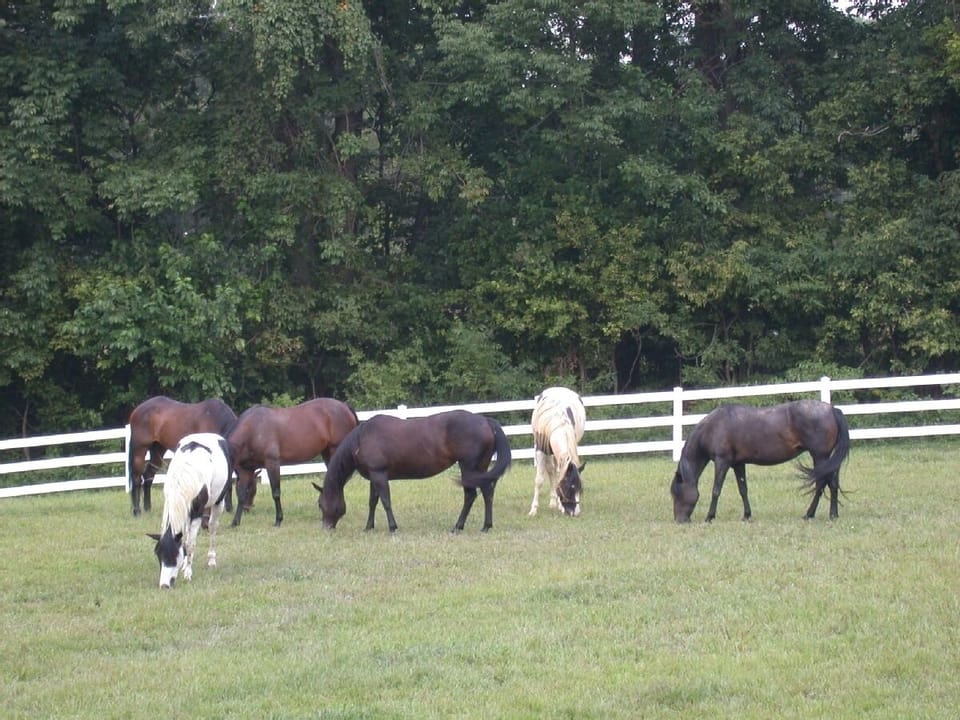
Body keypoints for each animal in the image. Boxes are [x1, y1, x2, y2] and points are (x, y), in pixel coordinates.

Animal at [147, 433, 231, 589]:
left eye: (173, 555)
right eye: (158, 555)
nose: (164, 585)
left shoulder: (197, 513)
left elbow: (190, 543)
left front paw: (188, 573)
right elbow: (185, 541)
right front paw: (186, 565)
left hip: (218, 502)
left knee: (212, 527)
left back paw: (211, 560)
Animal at [228, 397, 359, 527]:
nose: (247, 509)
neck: (253, 429)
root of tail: (345, 406)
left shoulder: (272, 463)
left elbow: (276, 493)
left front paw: (278, 520)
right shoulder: (246, 470)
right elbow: (241, 494)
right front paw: (235, 522)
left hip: (335, 451)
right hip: (327, 453)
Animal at [314, 410, 512, 533]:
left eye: (320, 504)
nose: (326, 528)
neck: (361, 439)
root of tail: (486, 421)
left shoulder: (379, 474)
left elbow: (385, 501)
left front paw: (392, 527)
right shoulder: (373, 476)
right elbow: (373, 502)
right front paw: (369, 527)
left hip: (469, 468)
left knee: (471, 495)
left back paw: (459, 527)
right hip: (480, 468)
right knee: (487, 493)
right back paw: (485, 526)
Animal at [527, 386, 586, 517]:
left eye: (580, 489)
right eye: (570, 487)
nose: (575, 512)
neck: (558, 422)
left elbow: (559, 475)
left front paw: (560, 505)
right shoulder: (540, 450)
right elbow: (539, 480)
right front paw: (533, 510)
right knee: (551, 470)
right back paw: (553, 502)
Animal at [670, 399, 850, 523]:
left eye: (676, 493)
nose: (680, 520)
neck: (714, 427)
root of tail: (832, 409)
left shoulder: (722, 462)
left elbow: (716, 490)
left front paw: (709, 517)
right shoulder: (738, 464)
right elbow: (743, 489)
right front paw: (746, 515)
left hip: (820, 457)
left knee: (821, 484)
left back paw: (809, 514)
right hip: (828, 460)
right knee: (833, 484)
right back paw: (833, 514)